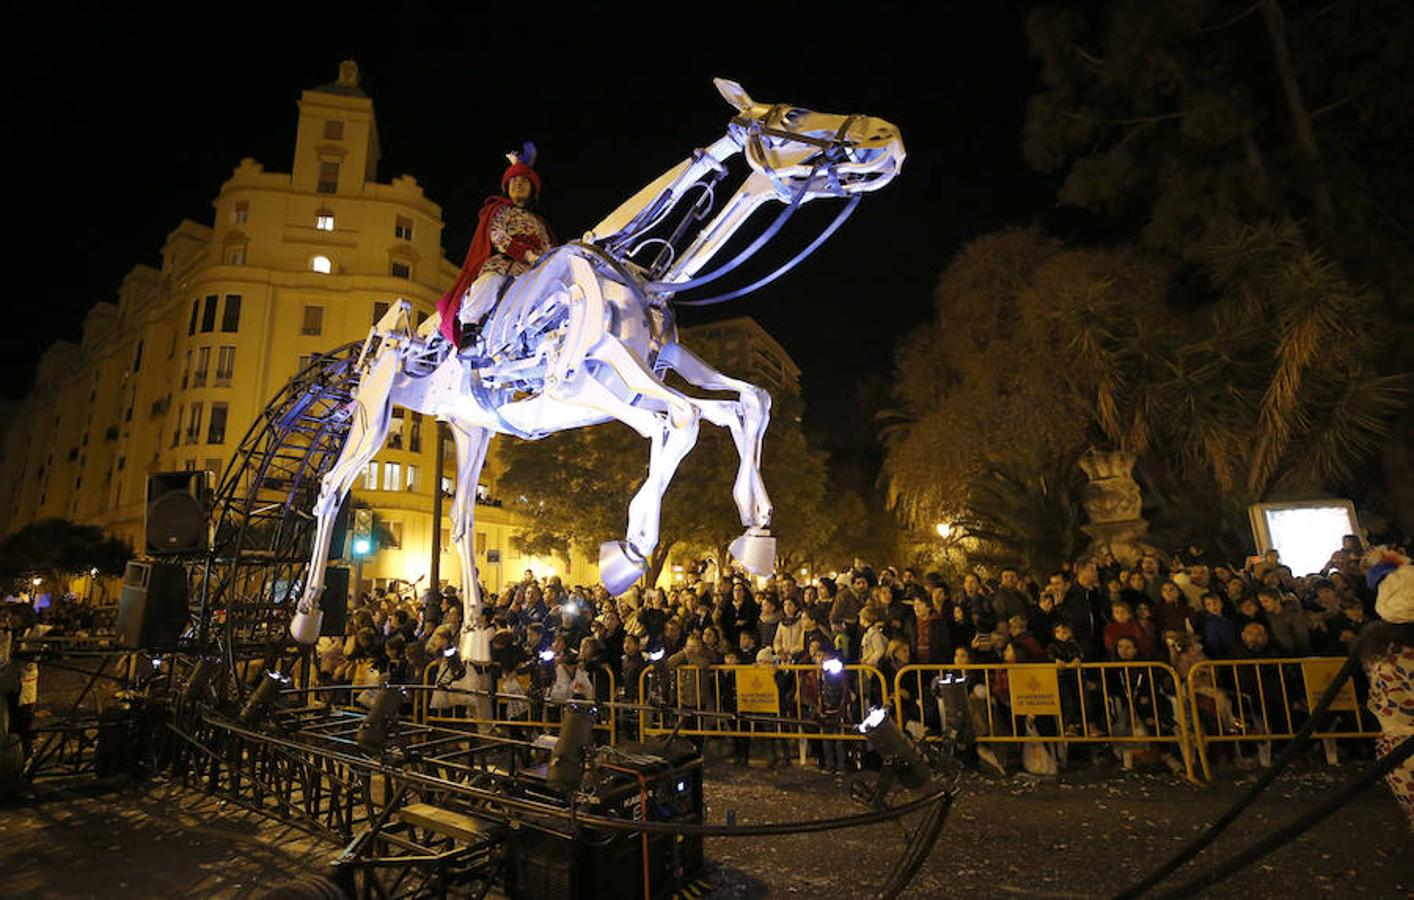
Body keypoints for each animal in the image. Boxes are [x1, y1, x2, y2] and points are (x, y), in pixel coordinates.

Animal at [291, 79, 899, 653]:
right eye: (792, 112)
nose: (887, 138)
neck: (636, 276)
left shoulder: (657, 371)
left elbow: (745, 402)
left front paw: (755, 533)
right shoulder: (582, 383)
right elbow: (681, 421)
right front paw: (628, 553)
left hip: (470, 428)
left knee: (461, 521)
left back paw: (476, 635)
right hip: (373, 415)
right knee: (332, 489)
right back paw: (305, 616)